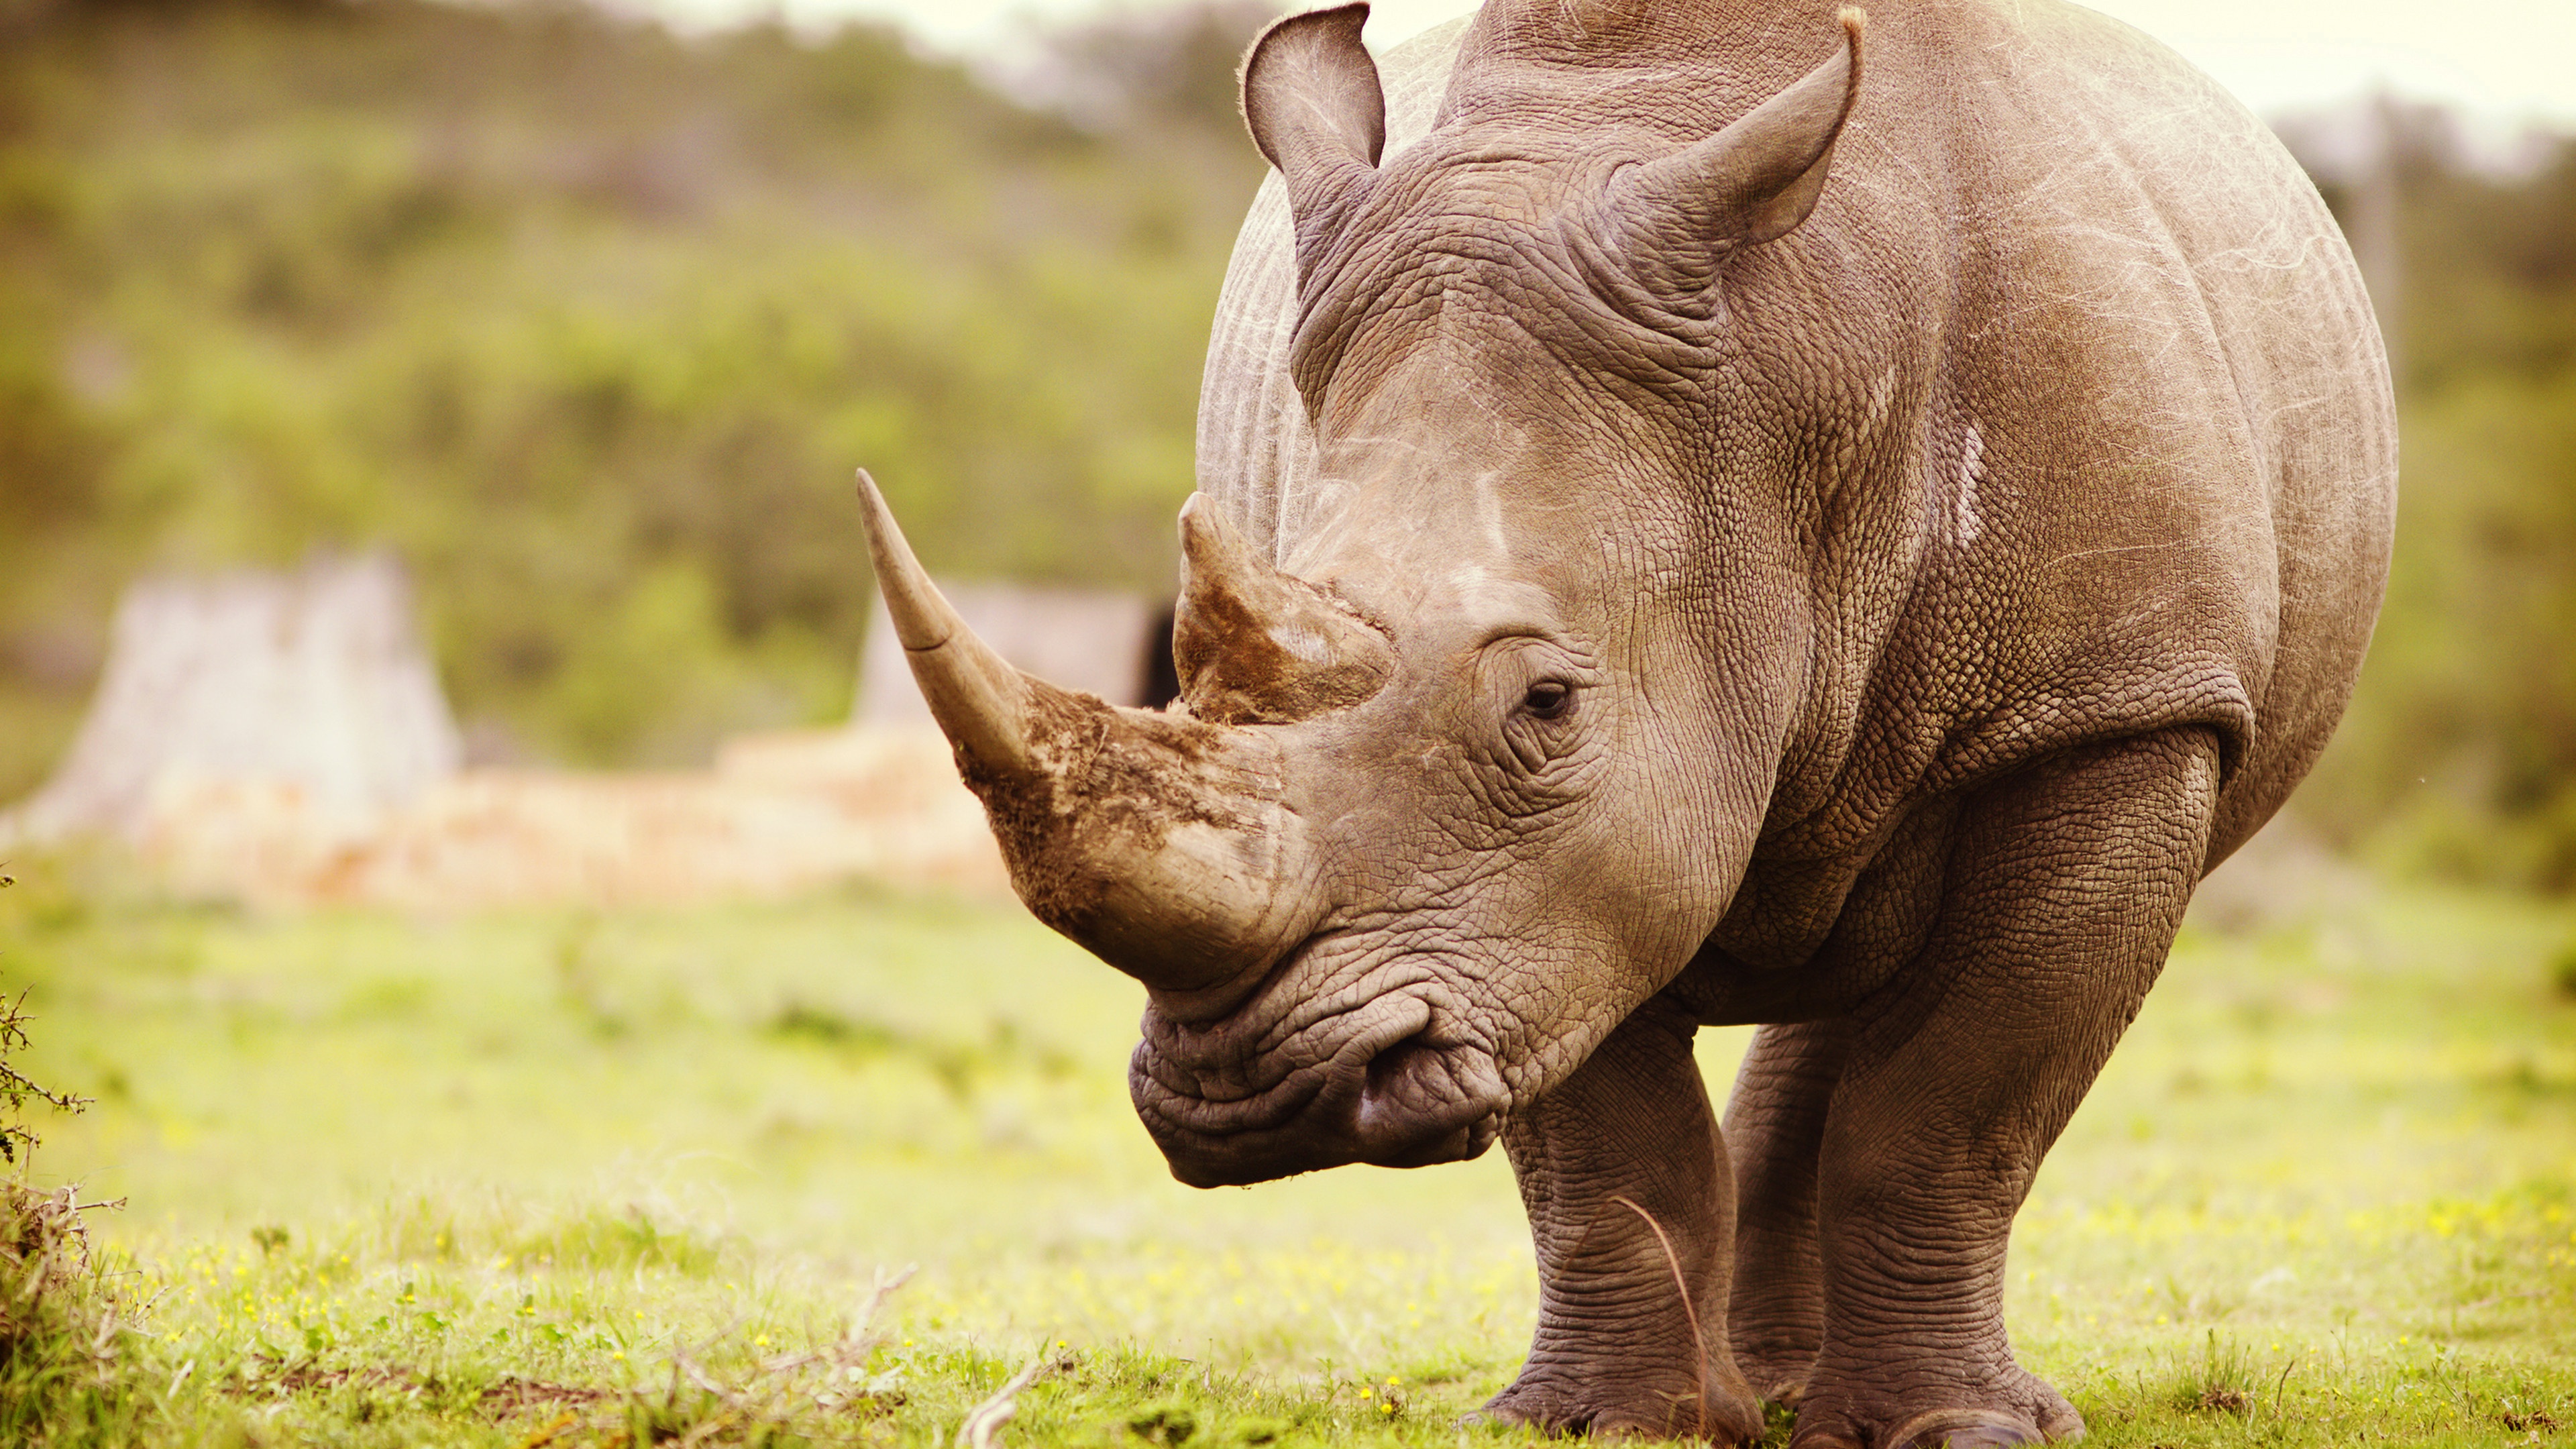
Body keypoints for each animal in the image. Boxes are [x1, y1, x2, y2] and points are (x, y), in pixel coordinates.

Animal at [853, 0, 2395, 1443]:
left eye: (1547, 704)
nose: (1249, 1095)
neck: (1795, 383)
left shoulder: (2117, 707)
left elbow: (1954, 1105)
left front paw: (1953, 1431)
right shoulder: (1517, 909)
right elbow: (1606, 1138)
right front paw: (1600, 1423)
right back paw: (1771, 1391)